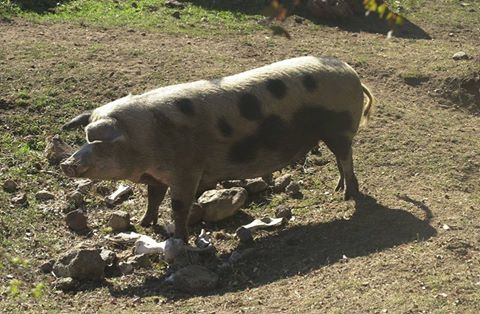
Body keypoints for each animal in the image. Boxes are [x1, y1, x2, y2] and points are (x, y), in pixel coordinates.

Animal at [61, 56, 376, 242]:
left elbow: (178, 206)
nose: (66, 163)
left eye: (98, 142)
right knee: (341, 160)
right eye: (85, 138)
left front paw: (179, 240)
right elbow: (153, 198)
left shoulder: (187, 171)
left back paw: (348, 197)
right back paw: (339, 189)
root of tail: (352, 74)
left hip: (339, 128)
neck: (145, 137)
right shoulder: (158, 176)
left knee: (346, 158)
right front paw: (144, 223)